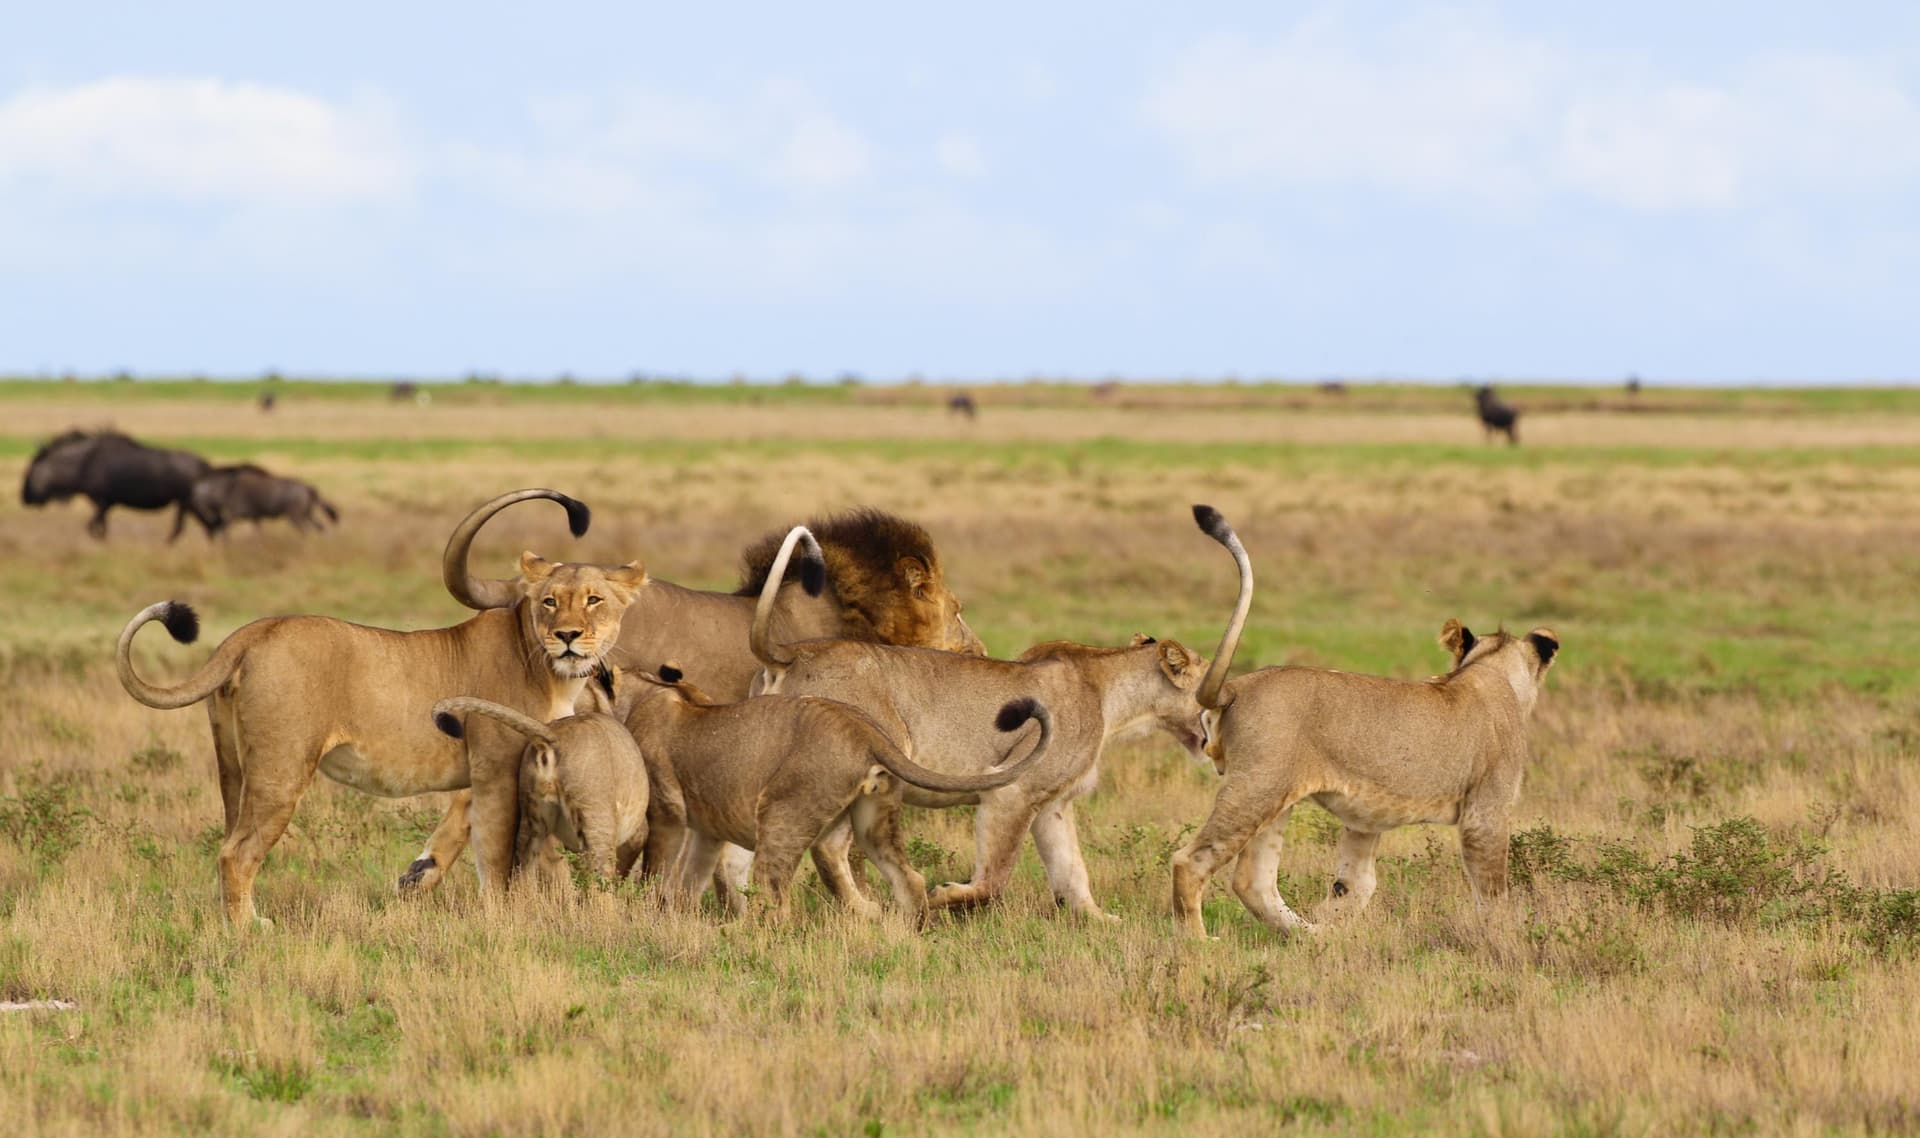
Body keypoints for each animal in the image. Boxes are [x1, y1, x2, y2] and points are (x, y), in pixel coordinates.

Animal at [430, 690, 648, 888]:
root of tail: (554, 738)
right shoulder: (636, 832)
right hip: (596, 820)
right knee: (599, 885)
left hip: (532, 819)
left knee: (522, 876)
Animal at [614, 658, 1053, 923]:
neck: (649, 692)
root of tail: (863, 730)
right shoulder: (706, 829)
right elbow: (692, 878)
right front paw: (677, 919)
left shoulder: (667, 811)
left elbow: (656, 870)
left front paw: (648, 914)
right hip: (871, 819)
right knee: (907, 878)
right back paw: (903, 932)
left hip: (784, 815)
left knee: (776, 896)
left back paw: (747, 939)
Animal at [750, 526, 1209, 921]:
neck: (1116, 698)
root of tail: (793, 653)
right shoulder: (1014, 790)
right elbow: (994, 879)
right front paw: (943, 896)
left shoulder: (1054, 805)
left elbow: (1073, 871)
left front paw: (1101, 921)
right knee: (829, 847)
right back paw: (882, 908)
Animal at [1171, 504, 1560, 938]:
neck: (1488, 670)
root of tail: (1237, 685)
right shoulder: (1486, 813)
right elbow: (1493, 894)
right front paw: (1506, 937)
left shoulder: (1365, 820)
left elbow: (1354, 885)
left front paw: (1336, 927)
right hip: (1256, 786)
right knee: (1190, 861)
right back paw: (1198, 940)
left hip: (1274, 794)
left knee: (1254, 881)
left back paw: (1310, 936)